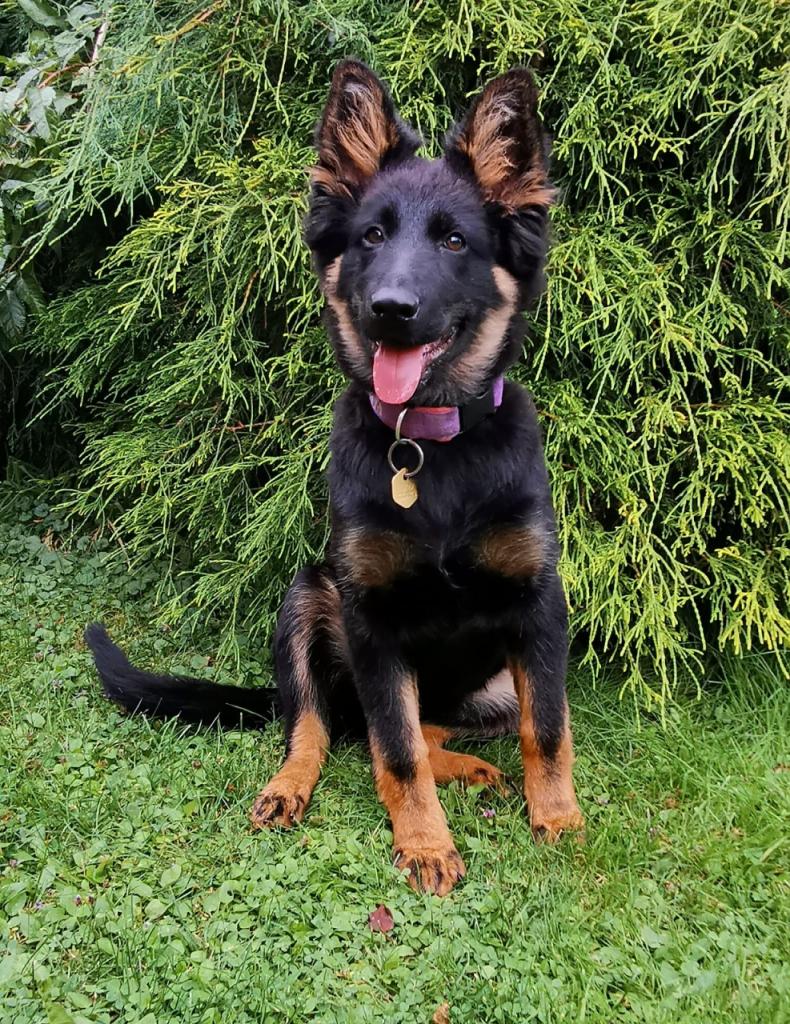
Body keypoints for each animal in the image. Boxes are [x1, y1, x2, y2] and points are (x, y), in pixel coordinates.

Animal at [86, 60, 584, 895]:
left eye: (455, 241)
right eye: (371, 237)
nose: (390, 309)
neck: (429, 449)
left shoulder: (537, 606)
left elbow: (545, 728)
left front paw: (558, 819)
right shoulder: (370, 619)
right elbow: (396, 750)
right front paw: (424, 843)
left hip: (483, 685)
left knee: (421, 724)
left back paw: (470, 766)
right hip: (306, 600)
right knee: (324, 728)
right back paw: (290, 788)